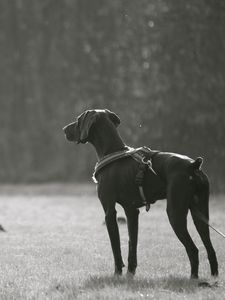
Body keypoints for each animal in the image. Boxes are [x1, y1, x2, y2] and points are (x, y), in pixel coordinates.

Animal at [63, 108, 218, 278]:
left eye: (78, 120)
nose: (64, 129)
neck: (112, 151)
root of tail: (193, 165)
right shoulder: (131, 212)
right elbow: (132, 244)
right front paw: (130, 273)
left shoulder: (109, 211)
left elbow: (116, 247)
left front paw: (117, 274)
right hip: (200, 214)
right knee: (210, 250)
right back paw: (214, 277)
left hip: (175, 213)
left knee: (193, 250)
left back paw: (193, 278)